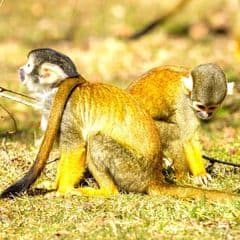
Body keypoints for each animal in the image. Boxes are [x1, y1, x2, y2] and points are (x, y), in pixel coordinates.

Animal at [0, 48, 238, 201]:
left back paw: (107, 191)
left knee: (96, 140)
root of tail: (154, 179)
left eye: (28, 66)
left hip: (131, 170)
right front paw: (55, 185)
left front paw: (62, 189)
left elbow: (75, 147)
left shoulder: (68, 108)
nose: (20, 70)